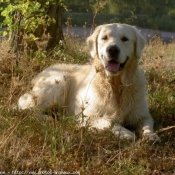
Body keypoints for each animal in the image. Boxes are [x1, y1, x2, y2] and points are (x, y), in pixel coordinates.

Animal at [18, 22, 159, 141]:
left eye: (125, 39)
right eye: (104, 38)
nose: (112, 49)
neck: (116, 84)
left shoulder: (142, 114)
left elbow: (147, 124)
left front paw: (150, 136)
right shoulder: (86, 117)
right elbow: (108, 122)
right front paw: (127, 133)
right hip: (59, 82)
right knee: (28, 107)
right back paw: (47, 118)